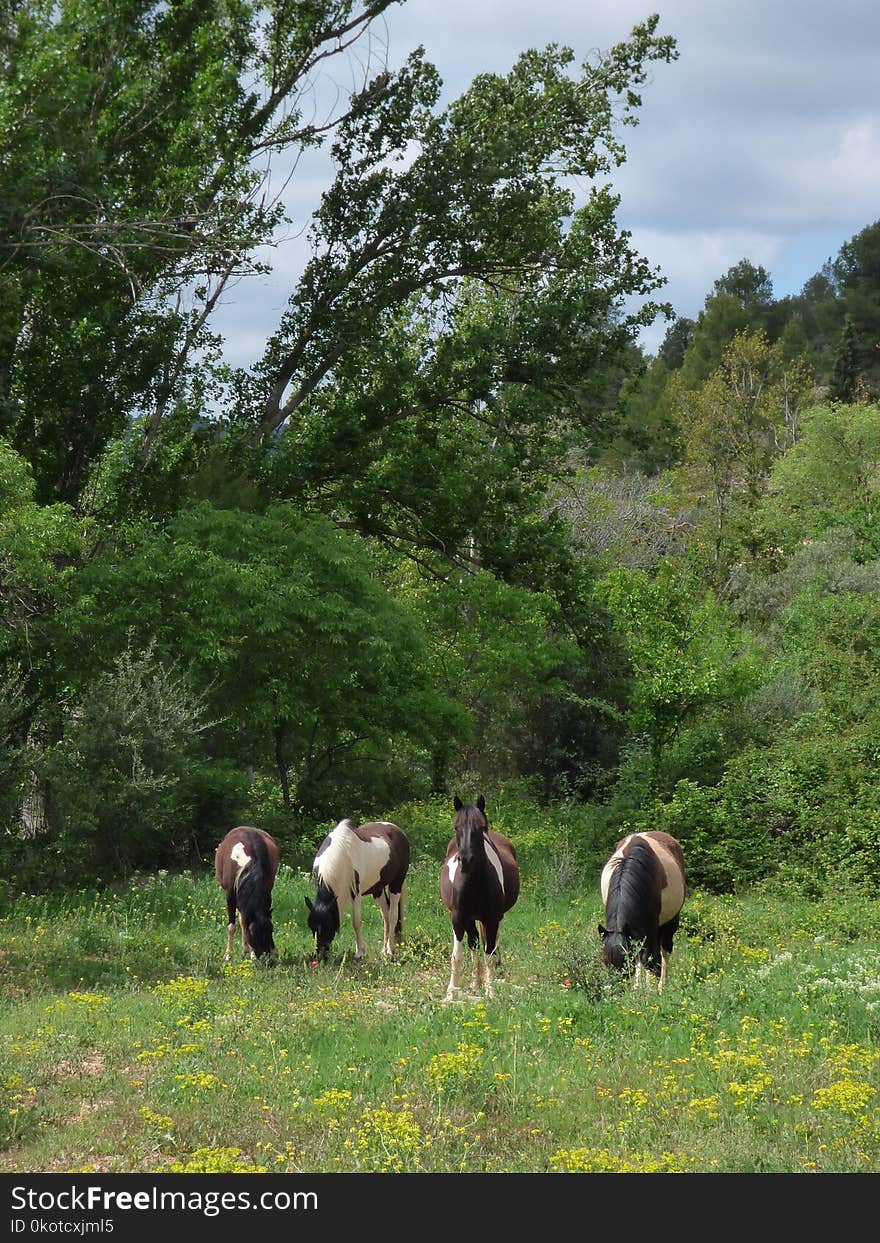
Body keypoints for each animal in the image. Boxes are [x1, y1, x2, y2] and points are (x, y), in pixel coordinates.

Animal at [213, 830, 278, 964]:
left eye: (271, 929)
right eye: (253, 933)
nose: (267, 960)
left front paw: (251, 954)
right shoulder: (230, 896)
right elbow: (232, 926)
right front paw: (228, 955)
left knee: (243, 919)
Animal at [305, 815, 410, 959]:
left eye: (328, 926)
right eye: (311, 927)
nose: (320, 956)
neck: (341, 855)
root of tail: (398, 830)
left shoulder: (356, 893)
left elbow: (356, 922)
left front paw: (360, 952)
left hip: (396, 884)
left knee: (393, 915)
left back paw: (390, 950)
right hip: (378, 889)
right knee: (386, 915)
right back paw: (383, 950)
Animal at [437, 795, 519, 999]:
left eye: (481, 827)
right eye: (456, 827)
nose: (466, 860)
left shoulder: (492, 918)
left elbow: (489, 954)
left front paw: (491, 992)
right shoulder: (458, 919)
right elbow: (457, 956)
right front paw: (451, 992)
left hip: (496, 918)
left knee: (490, 946)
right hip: (470, 920)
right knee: (473, 945)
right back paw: (475, 984)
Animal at [599, 830, 686, 994]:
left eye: (625, 962)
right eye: (606, 961)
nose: (617, 991)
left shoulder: (650, 928)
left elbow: (651, 959)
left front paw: (653, 991)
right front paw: (639, 989)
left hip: (668, 923)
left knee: (664, 950)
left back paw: (662, 984)